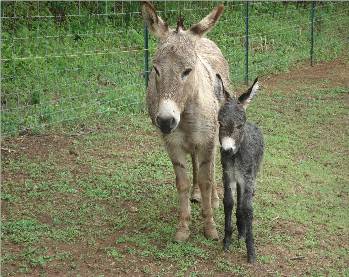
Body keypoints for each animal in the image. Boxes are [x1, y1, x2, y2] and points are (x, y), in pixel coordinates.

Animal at [213, 74, 262, 262]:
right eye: (220, 123)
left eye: (240, 125)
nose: (227, 150)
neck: (236, 156)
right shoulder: (228, 175)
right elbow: (229, 202)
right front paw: (227, 241)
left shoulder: (247, 177)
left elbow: (248, 209)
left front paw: (251, 252)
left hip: (252, 176)